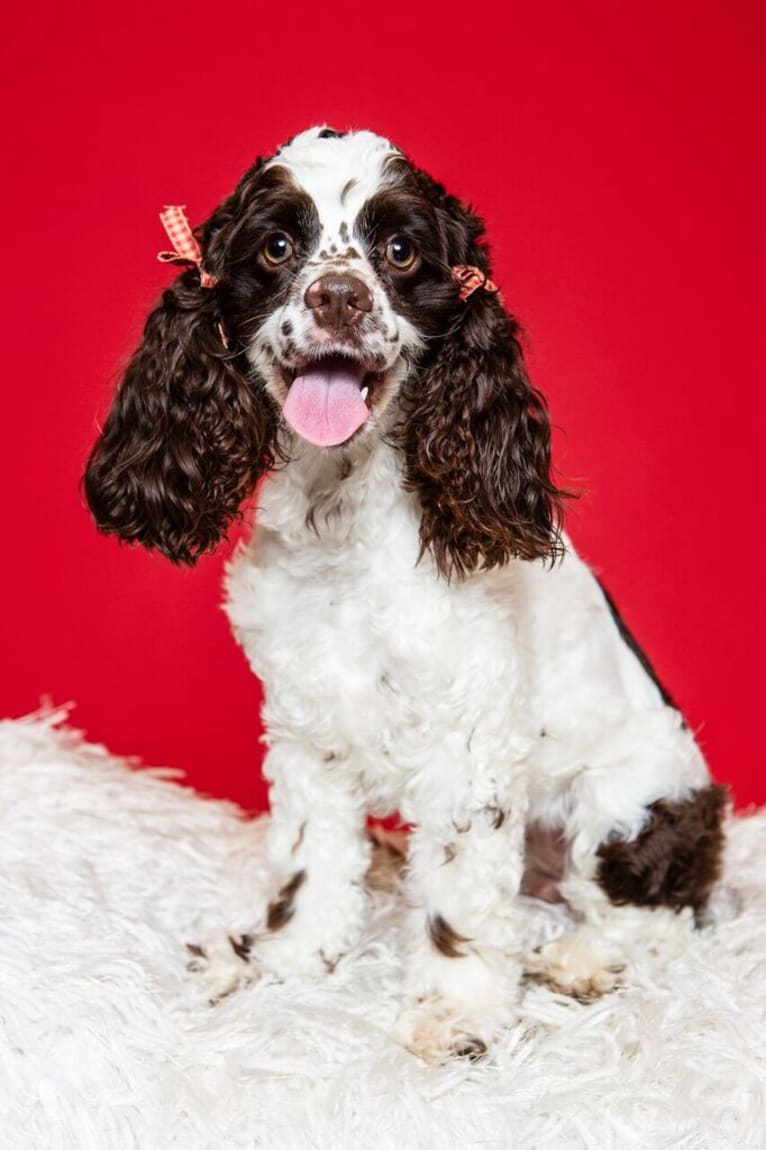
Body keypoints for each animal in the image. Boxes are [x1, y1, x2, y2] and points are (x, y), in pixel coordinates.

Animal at [86, 123, 726, 1058]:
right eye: (276, 247)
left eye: (399, 251)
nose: (339, 298)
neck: (343, 522)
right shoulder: (305, 727)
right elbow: (312, 859)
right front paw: (290, 958)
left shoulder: (469, 745)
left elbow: (460, 897)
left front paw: (458, 1009)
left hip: (628, 801)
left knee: (659, 914)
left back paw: (578, 961)